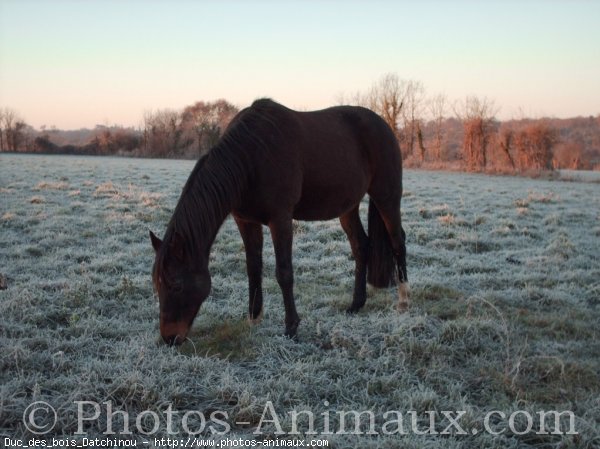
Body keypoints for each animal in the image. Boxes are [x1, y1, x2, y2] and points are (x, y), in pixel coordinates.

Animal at [149, 98, 408, 344]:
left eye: (176, 285)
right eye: (157, 284)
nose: (169, 338)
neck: (251, 158)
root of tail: (384, 125)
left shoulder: (280, 219)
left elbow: (284, 272)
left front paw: (291, 328)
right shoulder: (245, 221)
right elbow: (253, 268)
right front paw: (254, 318)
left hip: (386, 195)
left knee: (398, 242)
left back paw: (403, 301)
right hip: (348, 206)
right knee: (360, 245)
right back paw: (356, 304)